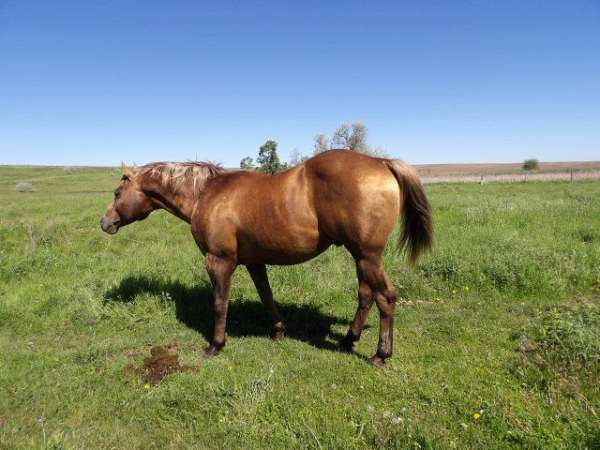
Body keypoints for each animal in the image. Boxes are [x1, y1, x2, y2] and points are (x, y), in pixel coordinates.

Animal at [101, 148, 434, 366]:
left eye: (117, 193)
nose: (105, 223)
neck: (206, 194)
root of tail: (381, 162)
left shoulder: (219, 261)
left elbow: (220, 304)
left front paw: (216, 345)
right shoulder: (254, 262)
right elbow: (267, 296)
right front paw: (278, 331)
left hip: (368, 256)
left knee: (386, 297)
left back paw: (380, 354)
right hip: (361, 257)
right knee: (366, 296)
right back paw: (348, 339)